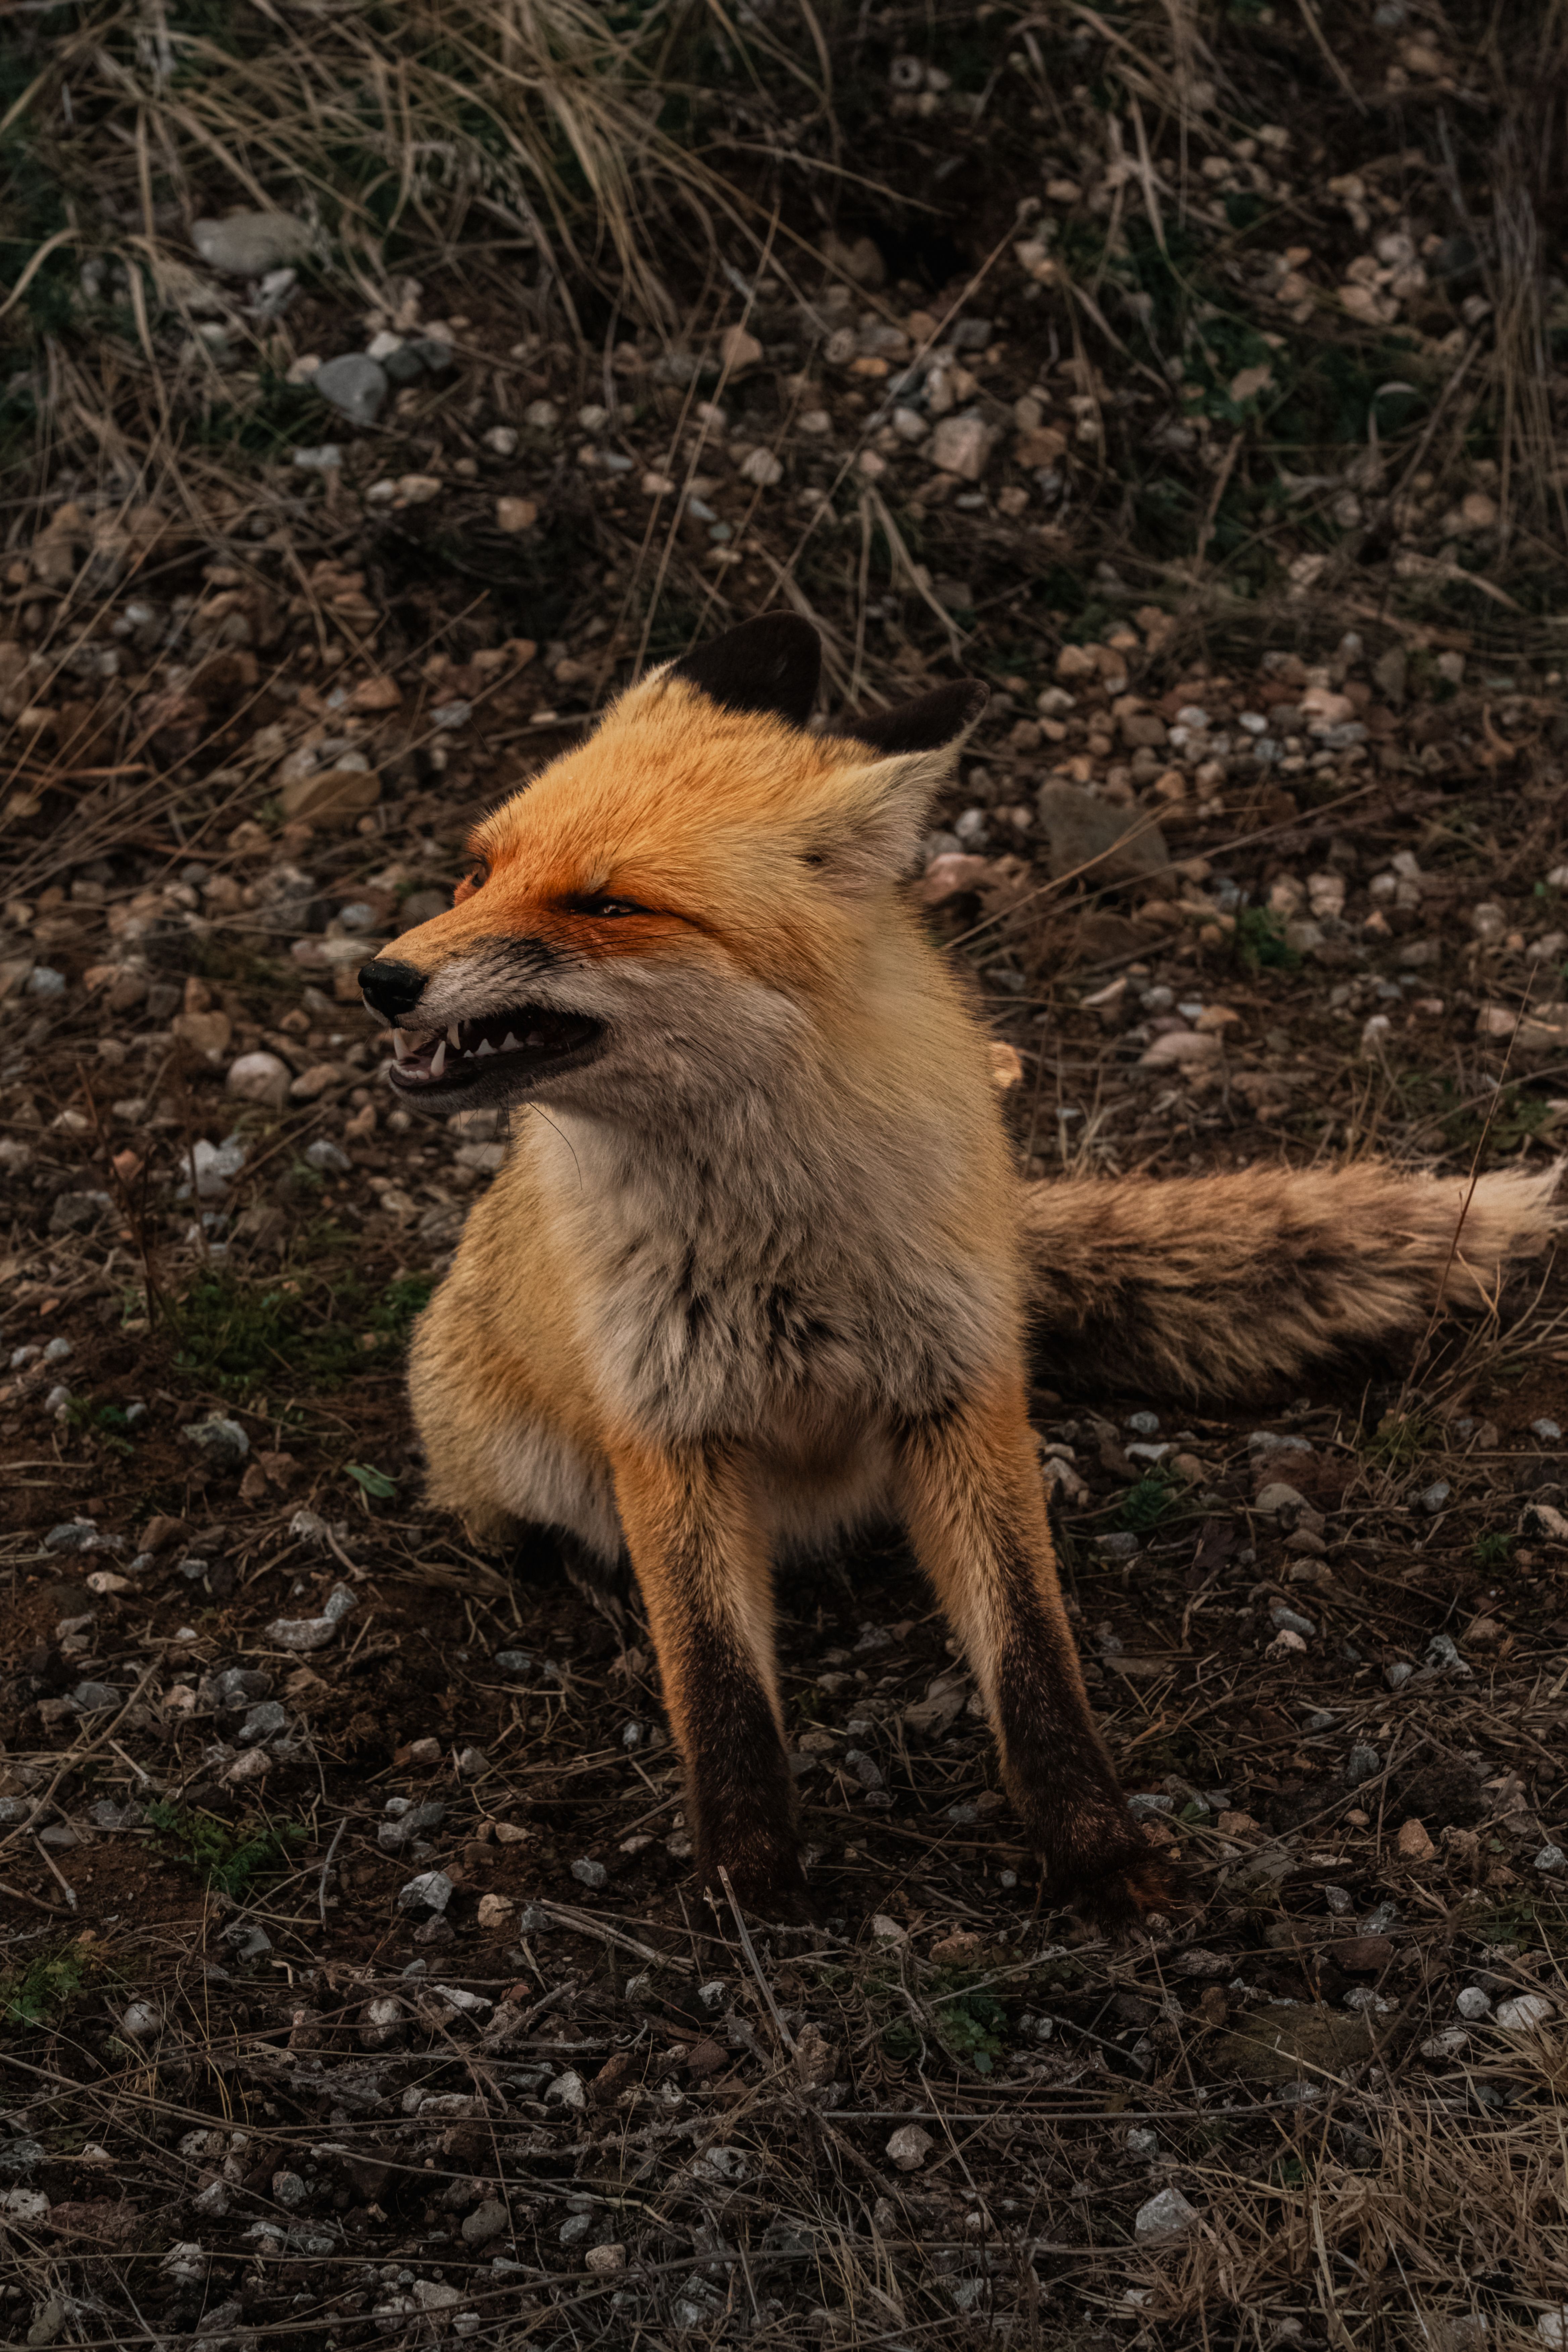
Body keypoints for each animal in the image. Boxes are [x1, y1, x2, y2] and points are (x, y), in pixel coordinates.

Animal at [359, 614, 1559, 1931]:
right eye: (477, 873)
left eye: (609, 903)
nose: (380, 977)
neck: (777, 1233)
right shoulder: (666, 1421)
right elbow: (718, 1686)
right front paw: (750, 1887)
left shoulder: (960, 1389)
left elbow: (1033, 1656)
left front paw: (1099, 1852)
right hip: (509, 1446)